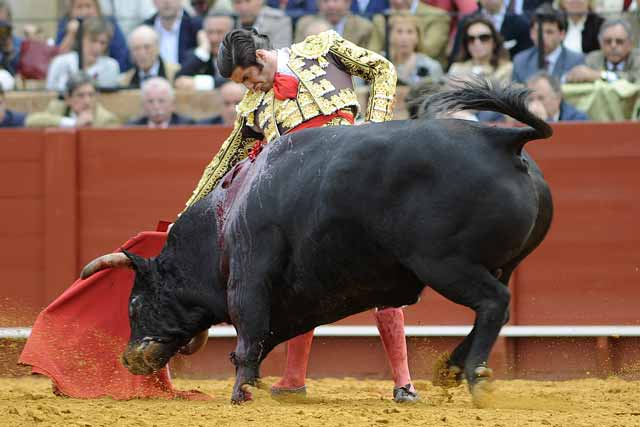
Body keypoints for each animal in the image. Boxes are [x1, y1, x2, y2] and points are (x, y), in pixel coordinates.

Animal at [79, 81, 552, 408]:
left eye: (134, 304)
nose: (128, 359)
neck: (224, 218)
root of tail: (501, 140)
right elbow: (277, 336)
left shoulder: (249, 278)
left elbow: (247, 338)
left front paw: (241, 395)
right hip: (496, 264)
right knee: (495, 306)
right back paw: (450, 369)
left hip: (445, 263)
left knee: (493, 302)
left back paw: (475, 377)